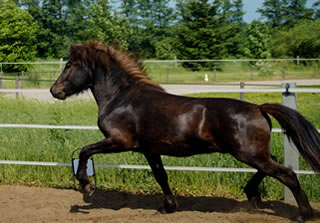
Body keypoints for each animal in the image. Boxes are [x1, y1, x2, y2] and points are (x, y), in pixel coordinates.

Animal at [50, 40, 320, 221]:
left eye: (70, 65)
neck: (122, 99)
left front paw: (87, 185)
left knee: (287, 173)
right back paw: (252, 194)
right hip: (253, 153)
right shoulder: (150, 150)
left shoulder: (119, 141)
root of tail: (258, 107)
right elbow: (161, 176)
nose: (55, 91)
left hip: (248, 153)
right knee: (273, 166)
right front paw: (168, 206)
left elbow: (84, 151)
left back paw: (304, 214)